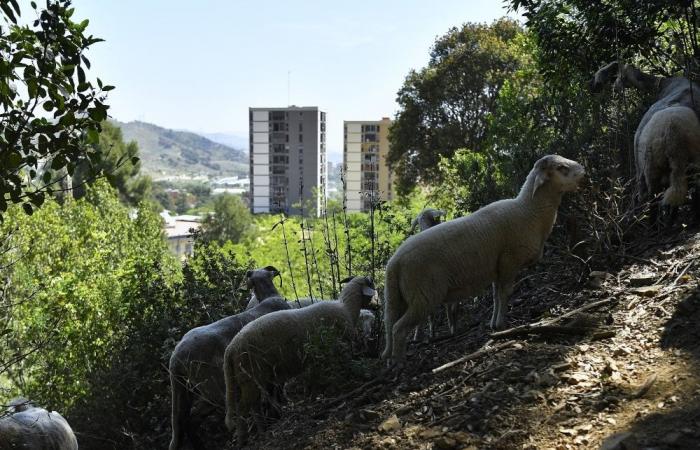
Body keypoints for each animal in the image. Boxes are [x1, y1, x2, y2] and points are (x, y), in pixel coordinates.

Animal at [168, 266, 290, 450]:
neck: (269, 297)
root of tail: (175, 357)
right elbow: (275, 391)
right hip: (215, 386)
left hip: (190, 389)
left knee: (188, 420)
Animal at [223, 276, 377, 443]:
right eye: (373, 287)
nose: (378, 305)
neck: (346, 308)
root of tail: (230, 349)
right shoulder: (338, 349)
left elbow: (316, 380)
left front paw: (315, 396)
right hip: (250, 377)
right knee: (244, 408)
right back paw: (244, 437)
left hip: (250, 379)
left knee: (253, 406)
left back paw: (262, 430)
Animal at [381, 155, 585, 365]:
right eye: (561, 168)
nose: (584, 173)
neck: (530, 211)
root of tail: (394, 263)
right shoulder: (509, 261)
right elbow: (505, 293)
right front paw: (502, 324)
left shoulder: (498, 266)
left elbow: (496, 295)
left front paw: (494, 324)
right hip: (424, 294)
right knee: (398, 328)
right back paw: (399, 362)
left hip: (398, 297)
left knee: (390, 323)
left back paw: (390, 360)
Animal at [591, 61, 700, 221]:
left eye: (604, 73)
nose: (593, 87)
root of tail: (673, 135)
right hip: (685, 166)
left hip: (651, 169)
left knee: (652, 201)